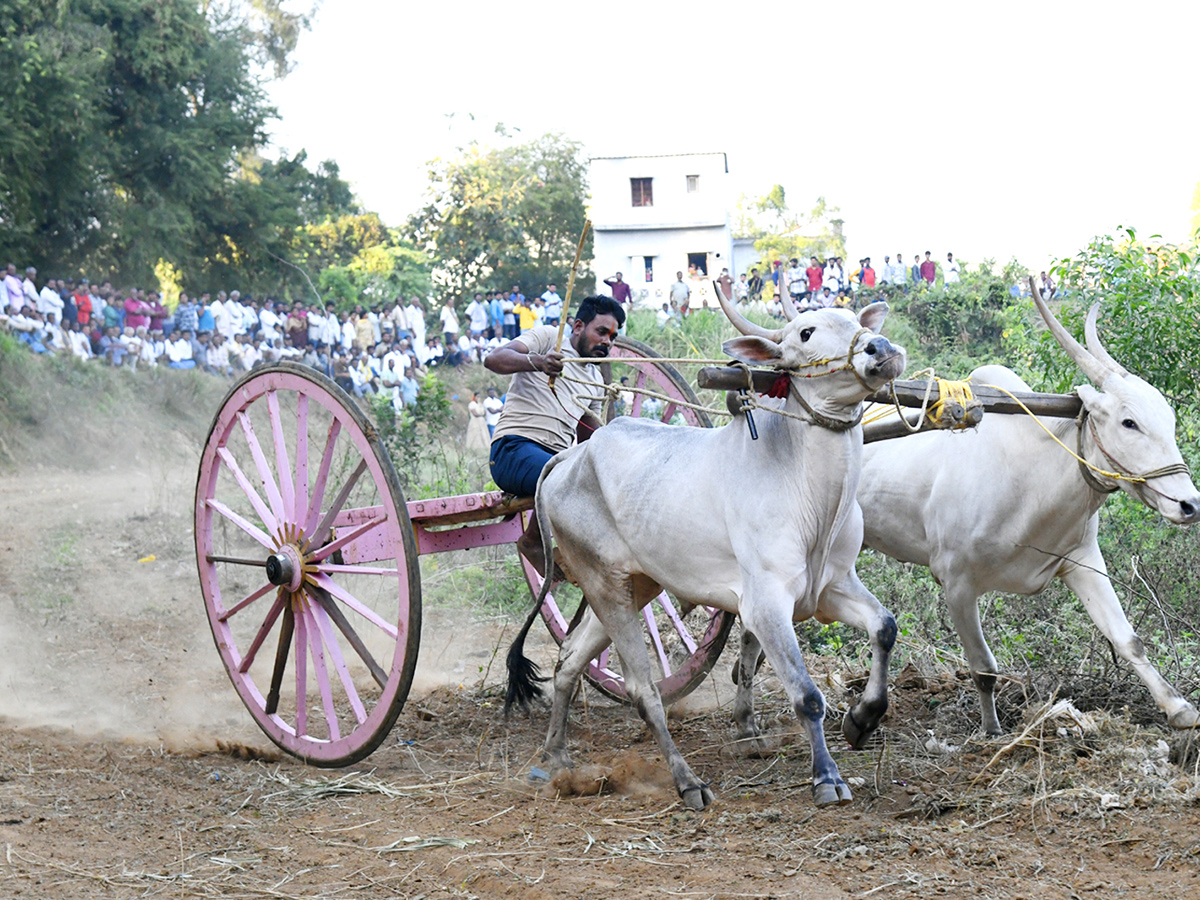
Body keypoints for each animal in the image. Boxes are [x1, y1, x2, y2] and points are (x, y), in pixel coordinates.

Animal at [506, 294, 907, 811]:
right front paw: (826, 775)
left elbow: (885, 628)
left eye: (857, 321)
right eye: (806, 333)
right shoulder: (765, 604)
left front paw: (862, 719)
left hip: (633, 586)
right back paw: (687, 780)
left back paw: (556, 756)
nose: (882, 348)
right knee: (642, 690)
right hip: (604, 586)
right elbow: (806, 695)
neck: (809, 489)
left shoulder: (834, 586)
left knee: (569, 658)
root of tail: (570, 455)